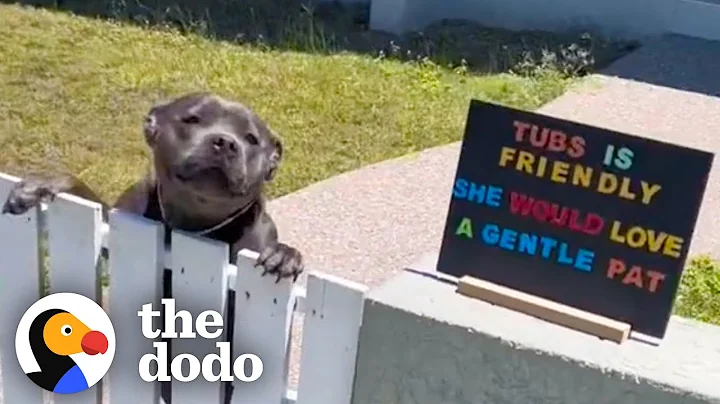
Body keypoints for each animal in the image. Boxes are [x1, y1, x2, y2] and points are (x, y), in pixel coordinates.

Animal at [1, 92, 304, 280]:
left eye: (252, 139)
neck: (193, 224)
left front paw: (284, 254)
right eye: (192, 119)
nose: (225, 142)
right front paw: (45, 183)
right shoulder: (113, 232)